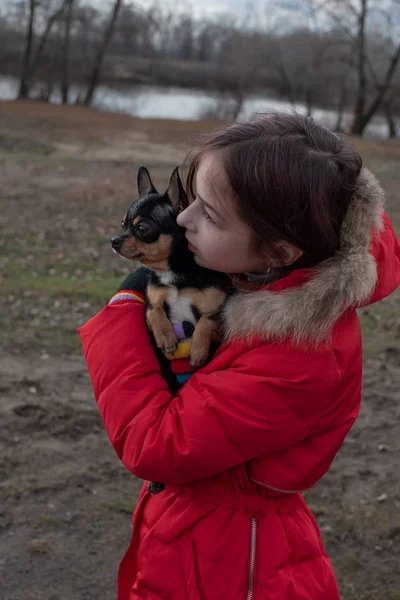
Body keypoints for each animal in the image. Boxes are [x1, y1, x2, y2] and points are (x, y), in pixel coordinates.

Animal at [111, 168, 233, 492]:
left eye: (142, 228)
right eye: (122, 224)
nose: (114, 240)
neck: (174, 276)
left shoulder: (219, 309)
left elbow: (205, 321)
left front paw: (199, 350)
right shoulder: (151, 299)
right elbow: (155, 312)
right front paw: (165, 339)